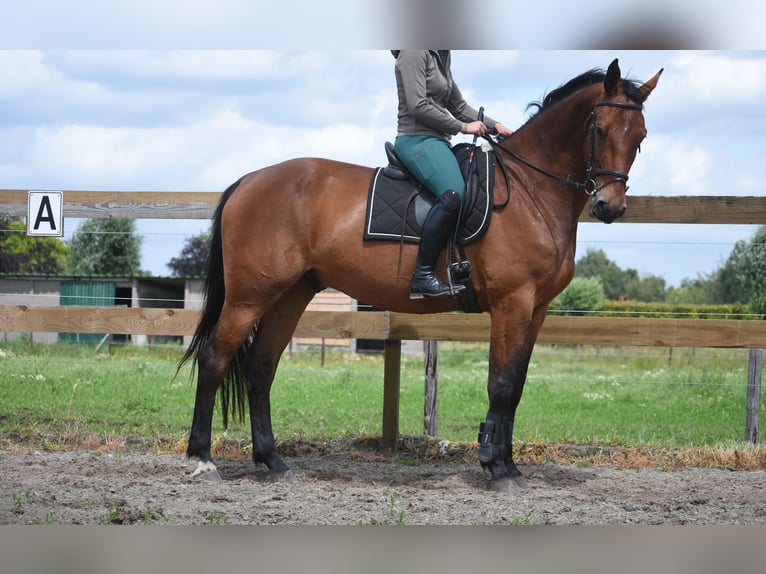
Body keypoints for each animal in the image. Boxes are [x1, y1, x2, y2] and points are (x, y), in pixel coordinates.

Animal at [180, 58, 662, 492]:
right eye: (599, 130)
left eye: (639, 137)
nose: (609, 207)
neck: (530, 191)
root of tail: (248, 181)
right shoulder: (513, 303)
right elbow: (501, 384)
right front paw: (496, 468)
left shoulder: (536, 309)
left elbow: (517, 387)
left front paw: (508, 464)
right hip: (249, 296)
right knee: (215, 359)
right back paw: (202, 460)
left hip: (291, 295)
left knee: (261, 368)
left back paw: (273, 461)